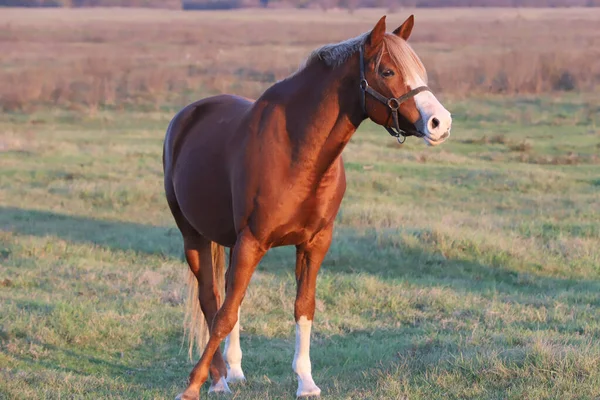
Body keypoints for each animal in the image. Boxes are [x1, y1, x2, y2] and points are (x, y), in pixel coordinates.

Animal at [162, 14, 452, 398]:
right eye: (388, 71)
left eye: (419, 68)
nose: (441, 123)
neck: (299, 153)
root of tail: (188, 114)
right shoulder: (253, 241)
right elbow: (224, 313)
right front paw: (192, 384)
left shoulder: (314, 243)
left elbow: (303, 307)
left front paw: (306, 381)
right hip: (193, 236)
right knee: (212, 299)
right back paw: (219, 377)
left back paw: (233, 371)